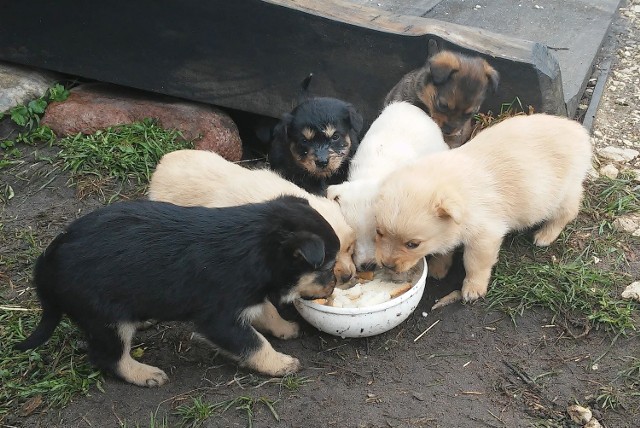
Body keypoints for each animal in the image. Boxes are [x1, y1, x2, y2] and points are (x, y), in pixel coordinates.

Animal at [13, 197, 340, 388]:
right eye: (328, 267)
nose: (335, 284)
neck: (258, 247)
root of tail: (45, 264)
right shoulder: (218, 318)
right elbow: (254, 343)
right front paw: (280, 363)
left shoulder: (247, 297)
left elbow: (267, 310)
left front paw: (285, 327)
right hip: (107, 318)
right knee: (108, 357)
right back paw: (144, 374)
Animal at [376, 113, 592, 300]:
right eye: (379, 232)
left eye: (413, 244)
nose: (387, 264)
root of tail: (578, 130)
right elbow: (444, 249)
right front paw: (438, 267)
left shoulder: (485, 235)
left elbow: (475, 263)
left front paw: (473, 287)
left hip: (562, 192)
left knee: (568, 212)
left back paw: (545, 235)